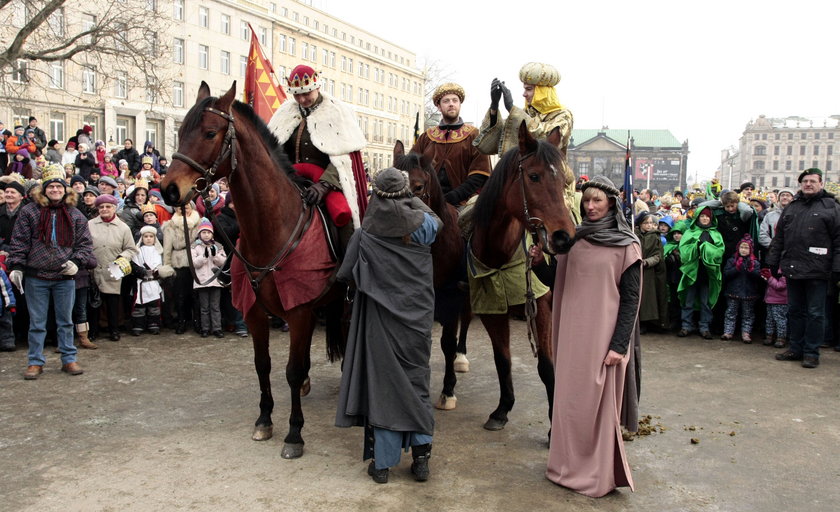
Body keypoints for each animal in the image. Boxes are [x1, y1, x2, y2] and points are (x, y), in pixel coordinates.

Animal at [161, 83, 344, 460]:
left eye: (210, 133)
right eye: (180, 132)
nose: (169, 189)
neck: (271, 228)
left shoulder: (299, 311)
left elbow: (291, 370)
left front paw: (294, 433)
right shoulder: (257, 311)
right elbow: (264, 365)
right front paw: (264, 420)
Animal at [394, 141, 472, 412]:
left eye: (418, 187)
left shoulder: (450, 296)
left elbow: (447, 342)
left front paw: (448, 390)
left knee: (466, 319)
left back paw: (461, 357)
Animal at [470, 122, 576, 430]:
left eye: (564, 180)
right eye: (534, 176)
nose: (564, 237)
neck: (501, 255)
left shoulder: (541, 306)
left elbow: (546, 366)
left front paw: (554, 426)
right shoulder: (491, 309)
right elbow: (502, 359)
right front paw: (502, 409)